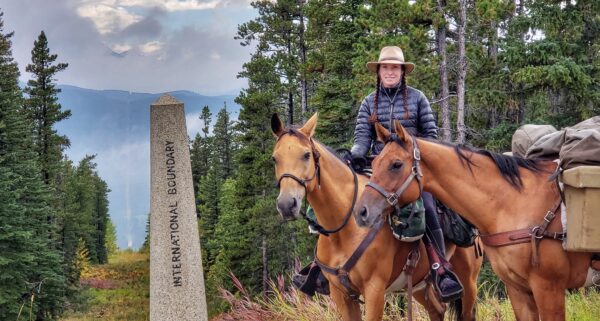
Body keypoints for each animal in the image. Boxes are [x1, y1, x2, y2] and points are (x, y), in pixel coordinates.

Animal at [272, 113, 482, 320]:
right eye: (275, 158)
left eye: (306, 155)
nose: (286, 204)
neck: (345, 230)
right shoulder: (341, 294)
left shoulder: (374, 290)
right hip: (419, 285)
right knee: (437, 310)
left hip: (468, 281)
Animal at [354, 120, 596, 320]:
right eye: (373, 165)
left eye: (396, 164)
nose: (361, 212)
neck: (515, 202)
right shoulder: (518, 290)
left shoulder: (549, 288)